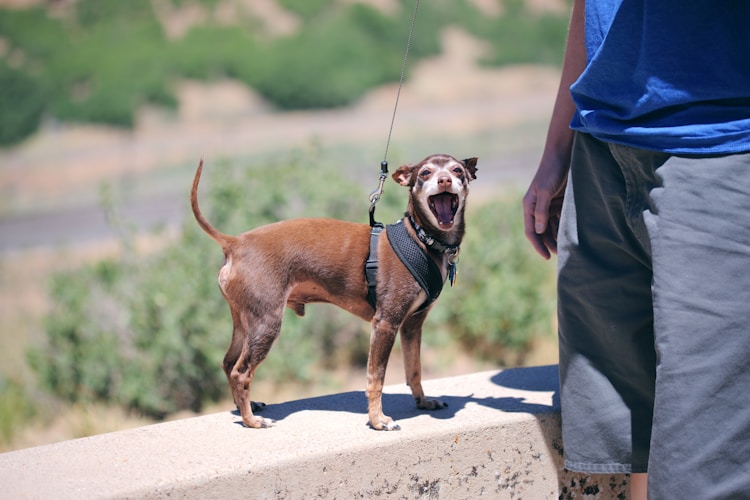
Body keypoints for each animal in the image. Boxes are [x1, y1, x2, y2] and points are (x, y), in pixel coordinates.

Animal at [191, 153, 478, 430]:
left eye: (457, 170)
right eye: (425, 173)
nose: (444, 180)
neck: (421, 239)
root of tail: (235, 243)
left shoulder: (412, 325)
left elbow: (414, 370)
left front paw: (423, 402)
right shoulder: (385, 323)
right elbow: (376, 378)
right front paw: (378, 420)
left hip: (244, 322)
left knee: (228, 363)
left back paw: (245, 408)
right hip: (266, 323)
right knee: (241, 372)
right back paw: (251, 420)